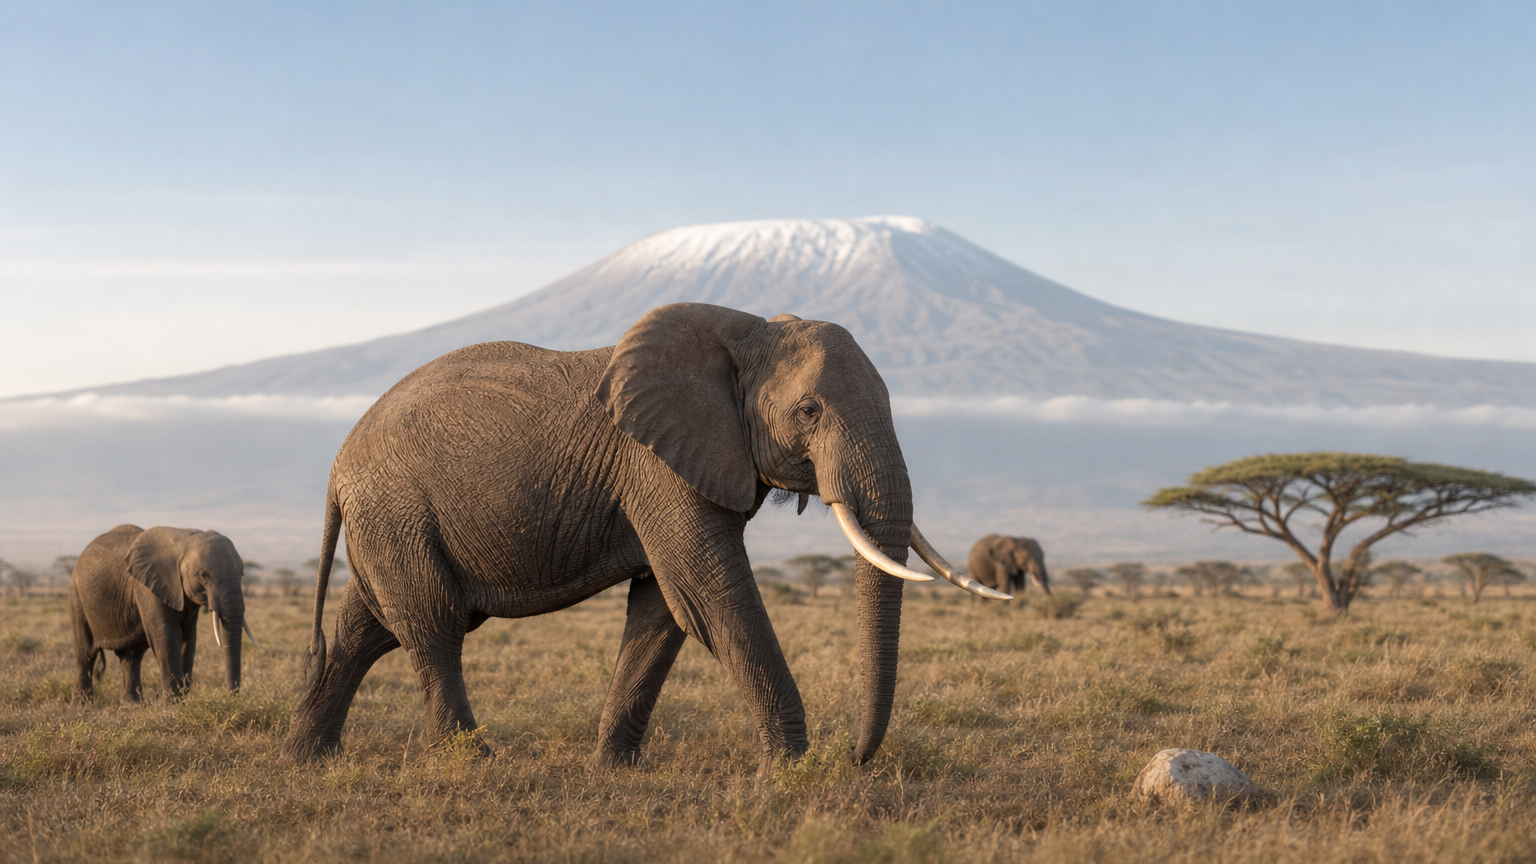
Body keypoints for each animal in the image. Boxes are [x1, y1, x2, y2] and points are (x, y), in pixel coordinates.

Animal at [68, 524, 259, 702]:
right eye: (203, 575)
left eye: (242, 574)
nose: (230, 697)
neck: (185, 537)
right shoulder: (147, 587)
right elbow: (167, 637)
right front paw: (172, 704)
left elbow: (188, 639)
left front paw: (177, 699)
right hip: (77, 597)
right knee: (86, 654)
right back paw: (82, 706)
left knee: (131, 657)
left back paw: (132, 704)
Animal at [283, 302, 1005, 771]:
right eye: (809, 411)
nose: (853, 757)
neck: (746, 332)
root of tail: (337, 465)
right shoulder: (658, 464)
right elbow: (710, 594)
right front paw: (790, 770)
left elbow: (664, 609)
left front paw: (614, 771)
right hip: (397, 509)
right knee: (434, 624)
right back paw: (472, 762)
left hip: (389, 521)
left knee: (368, 627)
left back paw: (306, 757)